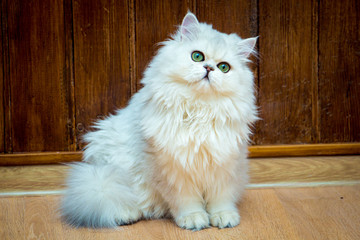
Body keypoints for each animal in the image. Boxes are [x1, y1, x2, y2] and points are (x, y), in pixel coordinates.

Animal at [62, 11, 258, 231]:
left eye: (224, 67)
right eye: (197, 56)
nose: (208, 68)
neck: (199, 111)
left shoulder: (224, 167)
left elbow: (221, 199)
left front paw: (224, 217)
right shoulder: (174, 169)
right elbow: (187, 201)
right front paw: (194, 219)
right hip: (110, 176)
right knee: (118, 201)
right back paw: (126, 215)